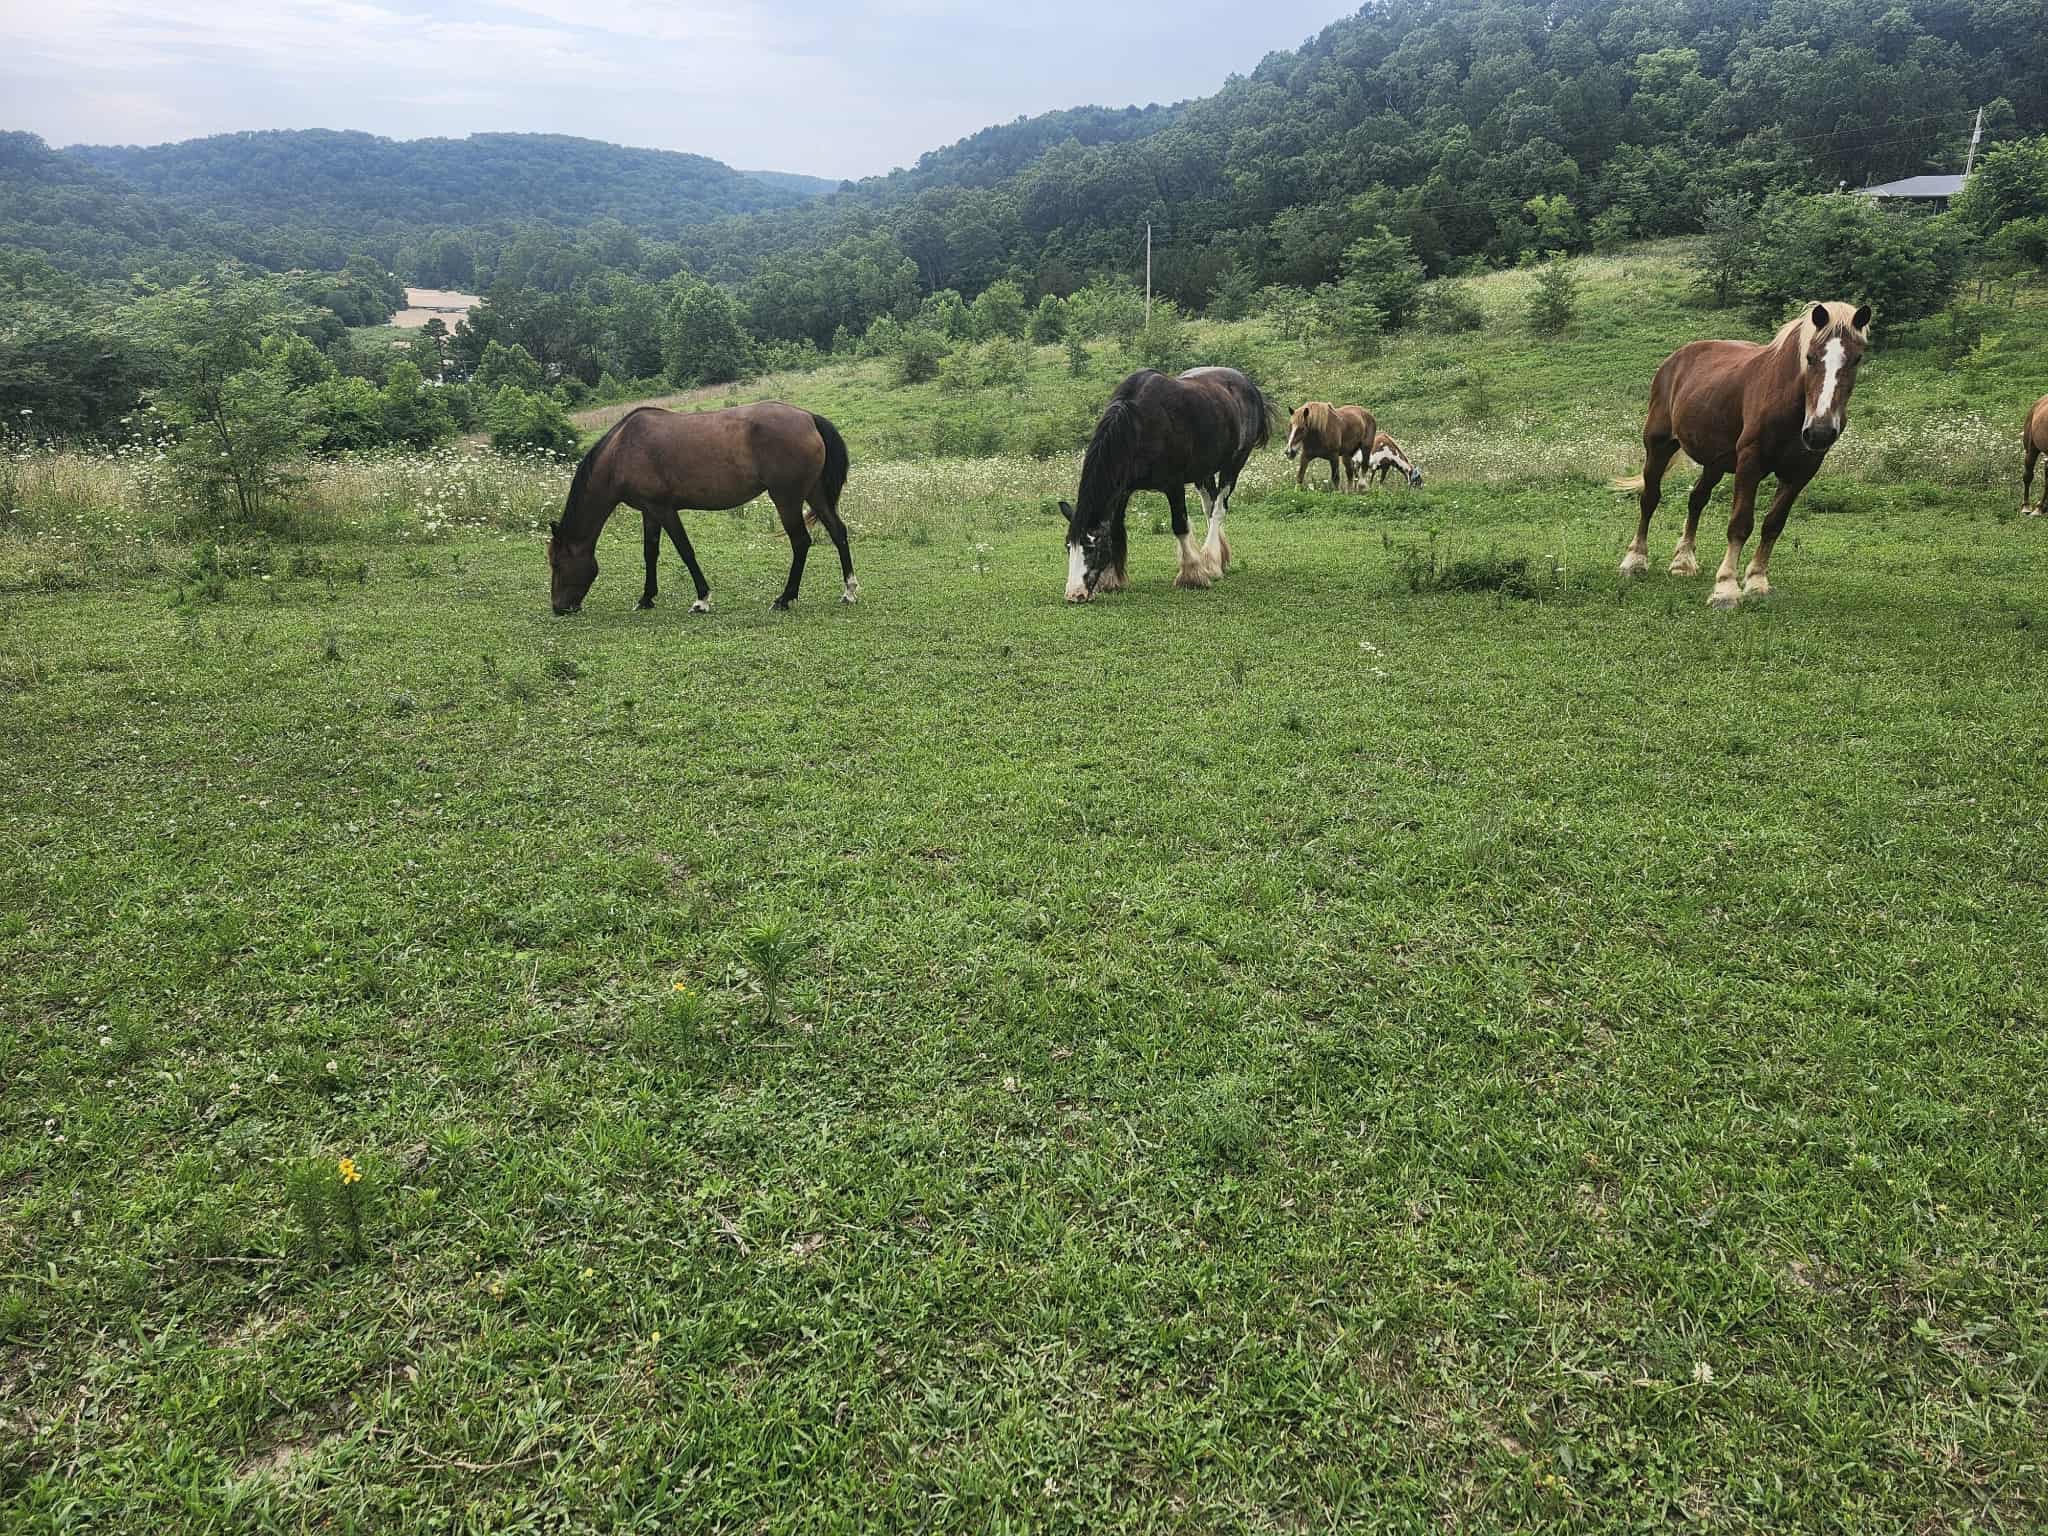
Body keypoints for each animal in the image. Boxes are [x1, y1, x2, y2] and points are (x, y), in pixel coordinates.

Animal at [546, 403, 853, 616]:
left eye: (557, 563)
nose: (559, 607)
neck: (622, 450)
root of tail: (809, 418)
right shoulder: (649, 511)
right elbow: (650, 553)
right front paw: (646, 598)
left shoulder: (664, 509)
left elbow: (685, 550)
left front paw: (701, 599)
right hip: (814, 494)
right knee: (838, 532)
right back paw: (849, 591)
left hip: (786, 499)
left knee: (801, 542)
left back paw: (784, 598)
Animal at [1060, 366, 1270, 602]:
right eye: (1068, 546)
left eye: (1091, 547)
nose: (1075, 594)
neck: (1139, 423)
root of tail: (1249, 386)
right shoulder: (1123, 489)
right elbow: (1115, 529)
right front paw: (1112, 579)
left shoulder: (1174, 485)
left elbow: (1179, 525)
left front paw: (1192, 575)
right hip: (1203, 472)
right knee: (1210, 506)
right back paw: (1218, 558)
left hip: (1233, 464)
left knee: (1218, 510)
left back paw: (1211, 561)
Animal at [1617, 302, 1871, 609]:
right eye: (1810, 358)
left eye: (1856, 359)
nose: (1820, 432)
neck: (1787, 402)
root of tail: (1675, 358)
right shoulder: (1750, 462)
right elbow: (1740, 524)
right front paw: (1726, 589)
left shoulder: (1801, 472)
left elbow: (1773, 524)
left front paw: (1757, 582)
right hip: (1659, 445)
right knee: (1650, 498)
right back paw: (1635, 561)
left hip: (1715, 462)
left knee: (1696, 499)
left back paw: (1683, 562)